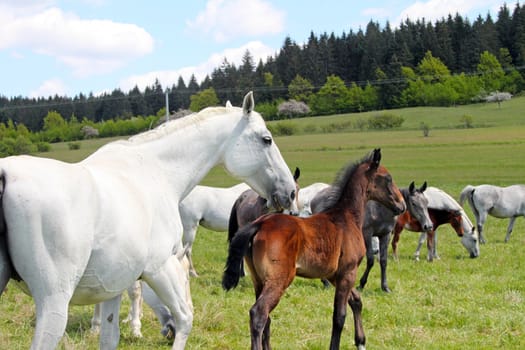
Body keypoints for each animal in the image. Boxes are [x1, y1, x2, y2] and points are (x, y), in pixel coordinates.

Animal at [0, 91, 296, 348]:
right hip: (54, 305)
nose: (291, 192)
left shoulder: (111, 288)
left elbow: (110, 337)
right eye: (266, 139)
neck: (157, 171)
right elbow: (185, 318)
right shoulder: (160, 268)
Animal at [221, 149, 406, 348]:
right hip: (279, 279)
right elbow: (339, 316)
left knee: (266, 319)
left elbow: (356, 300)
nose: (402, 205)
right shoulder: (348, 272)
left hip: (258, 280)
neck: (347, 217)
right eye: (388, 178)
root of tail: (260, 223)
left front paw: (361, 342)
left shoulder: (334, 275)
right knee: (259, 313)